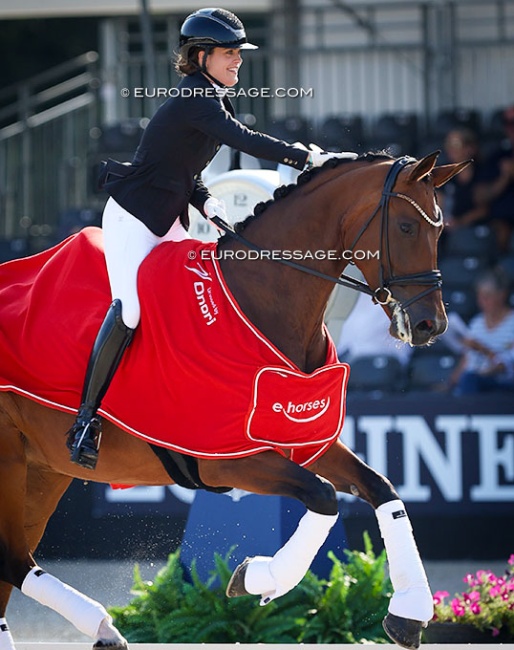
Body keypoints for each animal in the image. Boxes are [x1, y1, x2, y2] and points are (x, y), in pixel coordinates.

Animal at [0, 152, 466, 648]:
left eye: (439, 230)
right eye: (406, 227)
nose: (431, 325)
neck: (262, 302)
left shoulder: (306, 442)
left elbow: (382, 490)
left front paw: (409, 612)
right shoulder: (228, 460)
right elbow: (322, 496)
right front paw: (258, 577)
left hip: (43, 469)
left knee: (14, 560)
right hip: (11, 461)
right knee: (10, 557)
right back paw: (103, 623)